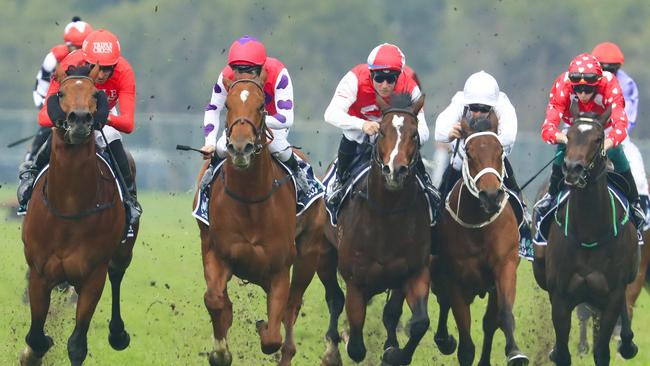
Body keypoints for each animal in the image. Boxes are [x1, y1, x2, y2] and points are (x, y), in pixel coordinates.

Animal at [19, 64, 138, 364]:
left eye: (96, 94)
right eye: (60, 93)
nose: (81, 119)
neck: (70, 206)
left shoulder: (92, 276)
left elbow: (76, 344)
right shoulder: (40, 273)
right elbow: (35, 337)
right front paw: (35, 350)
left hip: (123, 251)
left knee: (117, 275)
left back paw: (118, 334)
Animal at [192, 71, 324, 366]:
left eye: (262, 105)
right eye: (228, 105)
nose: (241, 147)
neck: (250, 200)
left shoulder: (279, 268)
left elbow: (273, 335)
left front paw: (264, 328)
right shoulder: (217, 252)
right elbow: (214, 300)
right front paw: (220, 351)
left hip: (308, 255)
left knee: (291, 309)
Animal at [318, 93, 430, 364]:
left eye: (414, 134)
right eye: (381, 132)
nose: (395, 170)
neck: (387, 215)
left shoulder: (414, 270)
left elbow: (418, 323)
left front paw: (393, 352)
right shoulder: (355, 280)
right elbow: (357, 346)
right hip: (322, 254)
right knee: (334, 299)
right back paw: (332, 348)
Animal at [428, 114, 528, 366]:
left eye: (500, 151)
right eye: (469, 153)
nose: (491, 196)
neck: (479, 226)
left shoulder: (505, 266)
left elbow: (502, 314)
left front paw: (515, 352)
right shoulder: (455, 280)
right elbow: (465, 344)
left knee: (490, 321)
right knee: (443, 302)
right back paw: (444, 340)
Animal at [532, 104, 636, 364]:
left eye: (598, 139)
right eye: (568, 137)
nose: (572, 169)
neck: (589, 232)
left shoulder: (611, 296)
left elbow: (602, 351)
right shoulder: (560, 297)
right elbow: (562, 352)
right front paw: (557, 351)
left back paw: (627, 342)